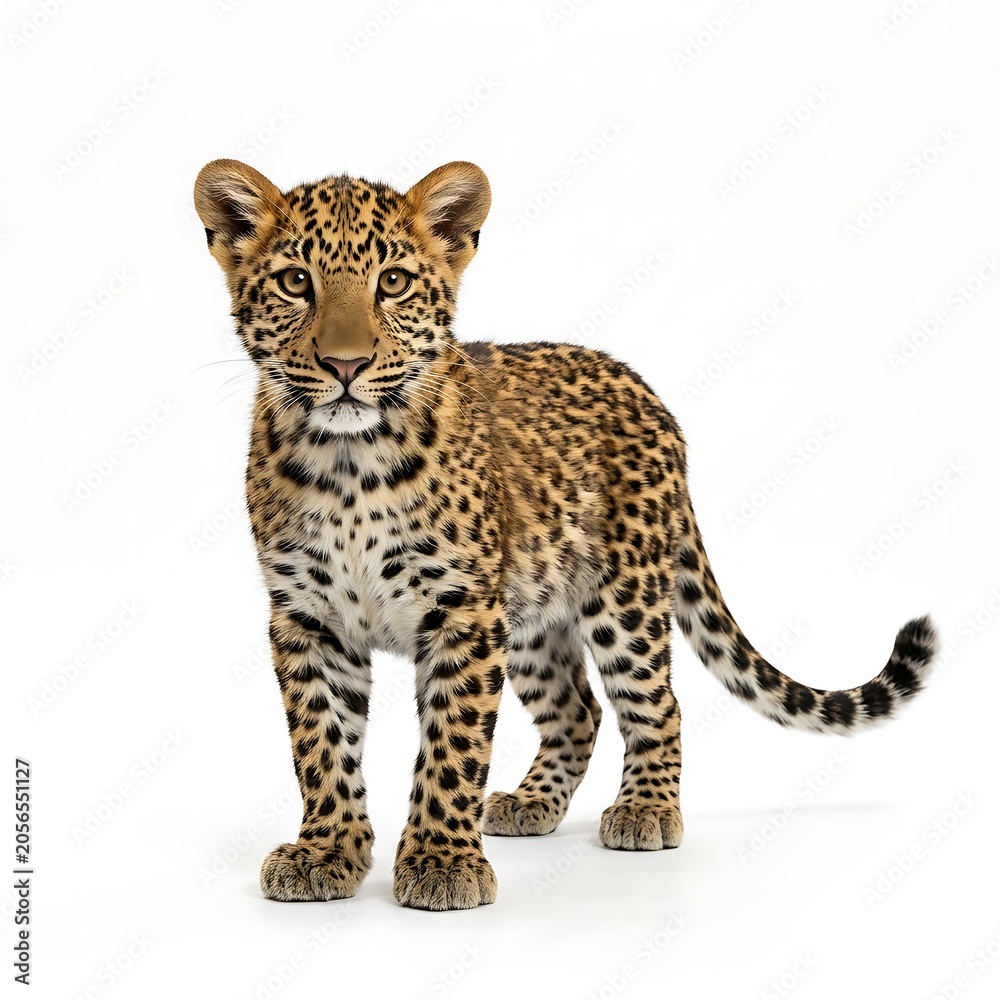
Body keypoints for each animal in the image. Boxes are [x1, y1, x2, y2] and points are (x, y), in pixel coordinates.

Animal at [193, 157, 937, 911]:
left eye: (393, 282)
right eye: (296, 281)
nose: (345, 365)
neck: (347, 464)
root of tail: (651, 397)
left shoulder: (462, 609)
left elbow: (452, 744)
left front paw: (442, 862)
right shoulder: (307, 617)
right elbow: (321, 743)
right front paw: (327, 852)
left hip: (624, 600)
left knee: (656, 704)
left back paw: (645, 810)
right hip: (529, 616)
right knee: (578, 710)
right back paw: (532, 803)